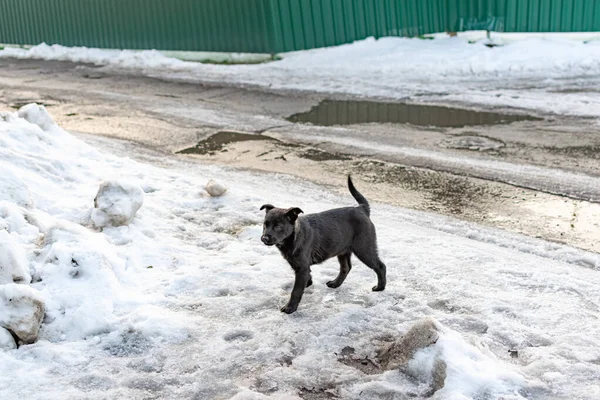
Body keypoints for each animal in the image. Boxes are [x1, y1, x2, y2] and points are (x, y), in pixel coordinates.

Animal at [260, 177, 386, 314]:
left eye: (278, 226)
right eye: (265, 224)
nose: (264, 238)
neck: (293, 238)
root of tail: (362, 209)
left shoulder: (302, 267)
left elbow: (296, 290)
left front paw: (290, 307)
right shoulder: (299, 264)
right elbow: (307, 277)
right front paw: (308, 283)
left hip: (364, 248)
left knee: (380, 266)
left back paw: (380, 287)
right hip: (343, 250)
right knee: (346, 267)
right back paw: (335, 284)